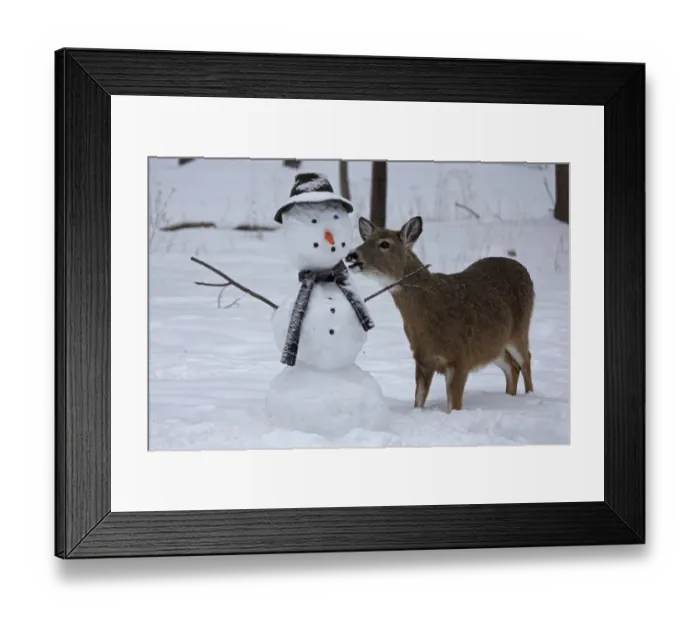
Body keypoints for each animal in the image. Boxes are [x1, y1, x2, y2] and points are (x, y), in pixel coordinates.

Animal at [345, 215, 535, 413]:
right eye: (366, 239)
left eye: (384, 243)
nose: (352, 255)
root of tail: (522, 268)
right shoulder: (423, 359)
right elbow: (418, 401)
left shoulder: (461, 357)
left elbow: (454, 406)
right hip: (494, 344)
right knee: (511, 367)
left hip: (520, 329)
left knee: (525, 360)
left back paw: (530, 397)